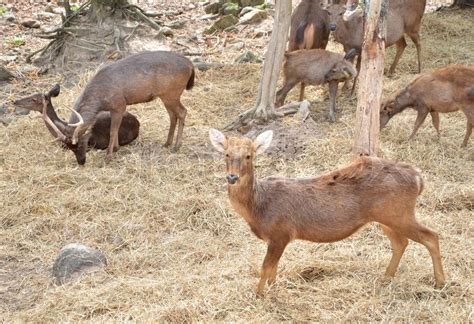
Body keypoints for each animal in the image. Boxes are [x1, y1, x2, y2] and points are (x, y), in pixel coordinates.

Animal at [31, 52, 194, 167]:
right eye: (70, 148)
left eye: (82, 144)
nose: (81, 162)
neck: (100, 99)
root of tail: (191, 65)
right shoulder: (112, 108)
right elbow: (113, 129)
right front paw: (115, 149)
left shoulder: (120, 104)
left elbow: (113, 130)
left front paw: (108, 157)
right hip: (166, 96)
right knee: (173, 115)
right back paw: (167, 143)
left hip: (172, 93)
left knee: (182, 112)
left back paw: (176, 146)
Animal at [209, 128, 446, 296]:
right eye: (227, 154)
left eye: (249, 156)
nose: (232, 177)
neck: (258, 208)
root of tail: (418, 178)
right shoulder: (276, 239)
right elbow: (273, 270)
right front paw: (272, 289)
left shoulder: (281, 233)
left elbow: (266, 267)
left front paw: (259, 295)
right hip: (387, 217)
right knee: (400, 242)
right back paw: (386, 278)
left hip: (399, 213)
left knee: (431, 236)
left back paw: (440, 283)